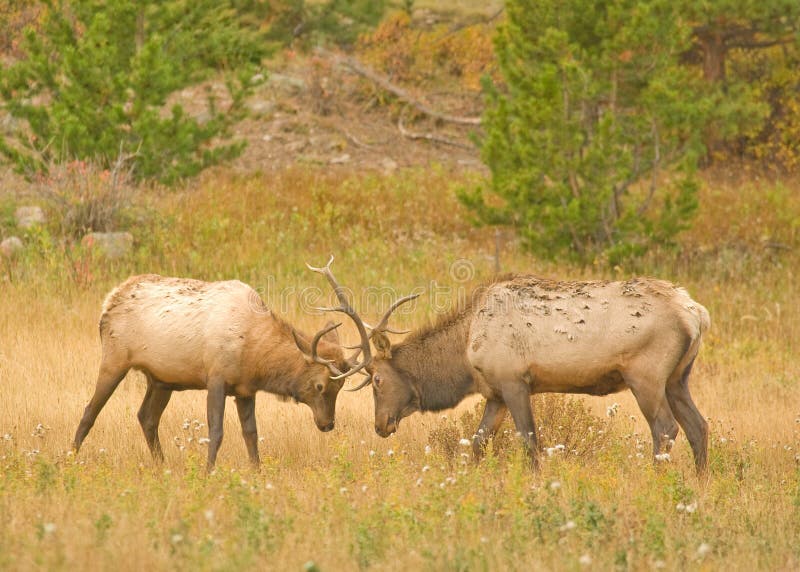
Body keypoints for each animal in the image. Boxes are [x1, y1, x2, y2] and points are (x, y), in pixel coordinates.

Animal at [73, 263, 371, 470]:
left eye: (340, 388)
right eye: (320, 385)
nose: (327, 424)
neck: (254, 354)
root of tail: (110, 299)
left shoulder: (245, 390)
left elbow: (251, 434)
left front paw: (257, 472)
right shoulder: (216, 378)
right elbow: (215, 432)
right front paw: (208, 472)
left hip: (161, 379)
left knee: (147, 416)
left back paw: (161, 466)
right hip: (113, 359)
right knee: (89, 411)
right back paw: (70, 459)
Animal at [320, 270, 711, 474]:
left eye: (378, 380)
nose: (380, 425)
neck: (464, 350)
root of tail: (696, 312)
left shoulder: (514, 381)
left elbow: (529, 440)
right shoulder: (495, 392)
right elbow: (478, 442)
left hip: (646, 376)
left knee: (665, 428)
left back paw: (658, 480)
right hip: (678, 378)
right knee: (699, 426)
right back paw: (700, 483)